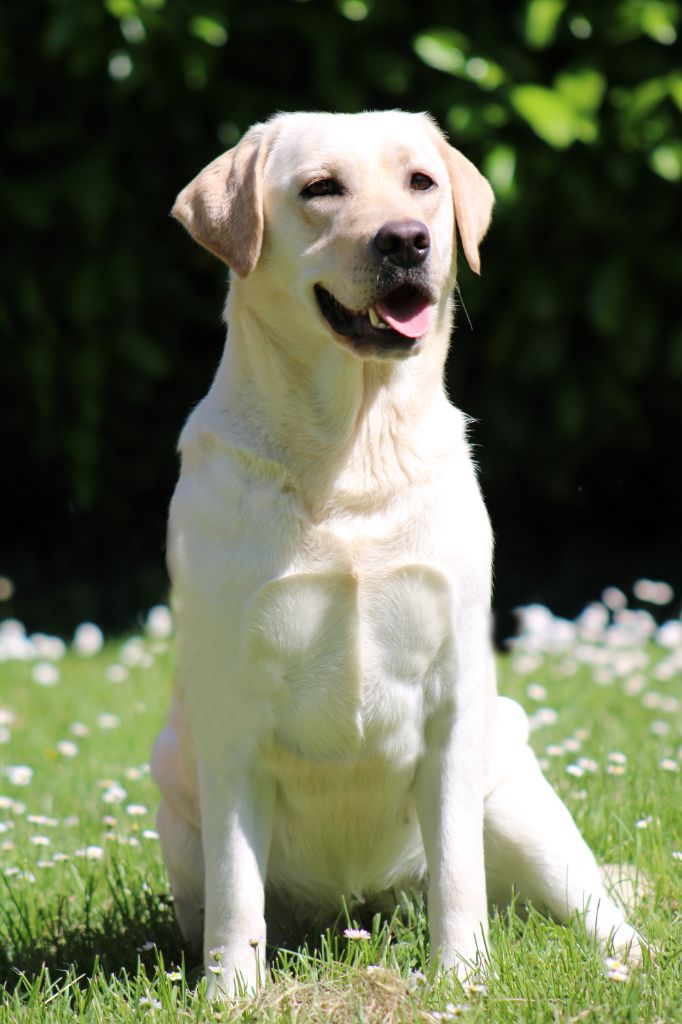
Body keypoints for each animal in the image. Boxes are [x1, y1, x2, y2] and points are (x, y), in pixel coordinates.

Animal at [150, 110, 643, 991]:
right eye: (321, 188)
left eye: (421, 182)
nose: (408, 240)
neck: (355, 445)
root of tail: (362, 907)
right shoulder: (230, 711)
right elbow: (239, 891)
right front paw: (232, 994)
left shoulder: (453, 694)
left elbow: (457, 873)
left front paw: (462, 981)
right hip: (174, 788)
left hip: (520, 799)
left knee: (592, 902)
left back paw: (629, 961)